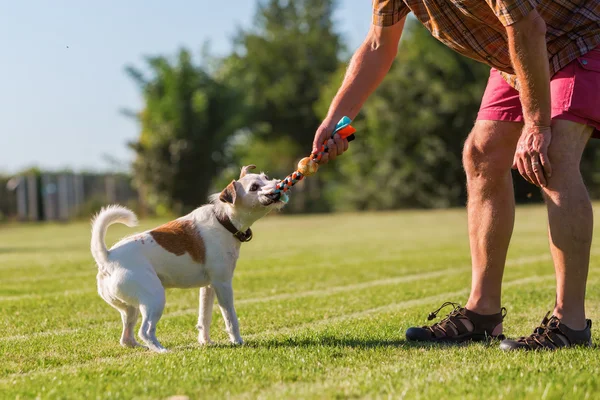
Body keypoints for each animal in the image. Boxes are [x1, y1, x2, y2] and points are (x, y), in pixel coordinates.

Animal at [89, 166, 286, 354]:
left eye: (266, 178)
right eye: (254, 187)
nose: (278, 184)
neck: (223, 220)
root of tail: (108, 257)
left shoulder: (208, 287)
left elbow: (204, 318)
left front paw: (205, 342)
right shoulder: (222, 284)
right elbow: (230, 318)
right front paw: (237, 341)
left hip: (131, 309)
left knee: (126, 338)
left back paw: (144, 348)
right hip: (154, 298)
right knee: (145, 331)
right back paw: (162, 350)